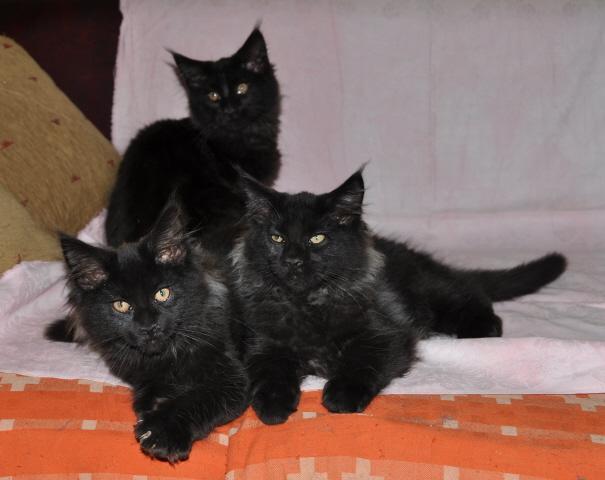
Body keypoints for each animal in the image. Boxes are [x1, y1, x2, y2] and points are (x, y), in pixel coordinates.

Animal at [46, 203, 248, 463]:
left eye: (162, 293)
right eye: (121, 305)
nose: (148, 326)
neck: (164, 357)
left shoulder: (231, 376)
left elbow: (198, 397)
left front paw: (161, 432)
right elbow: (147, 392)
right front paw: (156, 400)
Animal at [231, 169, 566, 425]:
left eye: (317, 238)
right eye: (277, 238)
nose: (292, 261)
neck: (307, 305)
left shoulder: (386, 335)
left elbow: (360, 363)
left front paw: (341, 396)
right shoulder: (264, 344)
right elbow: (270, 373)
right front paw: (272, 405)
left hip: (434, 293)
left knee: (470, 294)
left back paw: (484, 327)